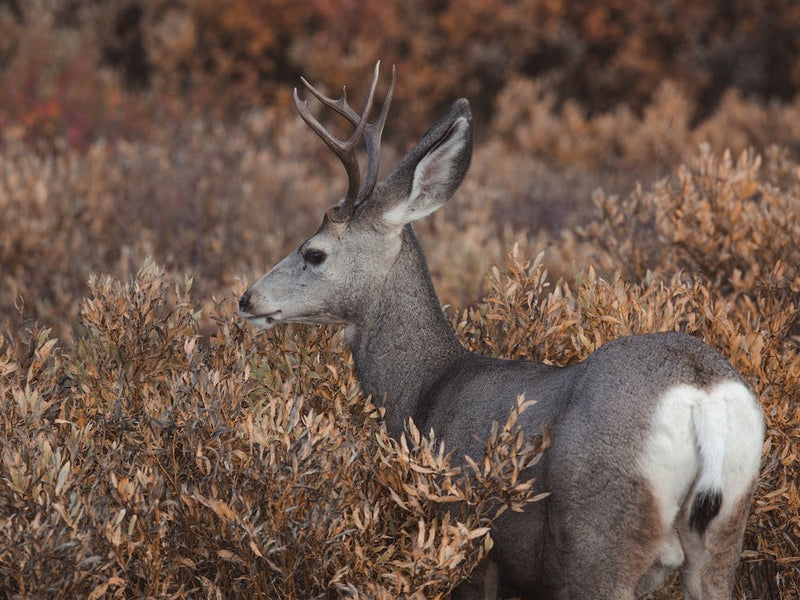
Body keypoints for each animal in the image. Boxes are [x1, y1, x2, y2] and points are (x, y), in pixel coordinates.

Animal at [238, 63, 765, 599]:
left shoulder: (466, 534)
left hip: (599, 538)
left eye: (314, 252)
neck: (425, 391)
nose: (248, 299)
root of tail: (701, 394)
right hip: (723, 538)